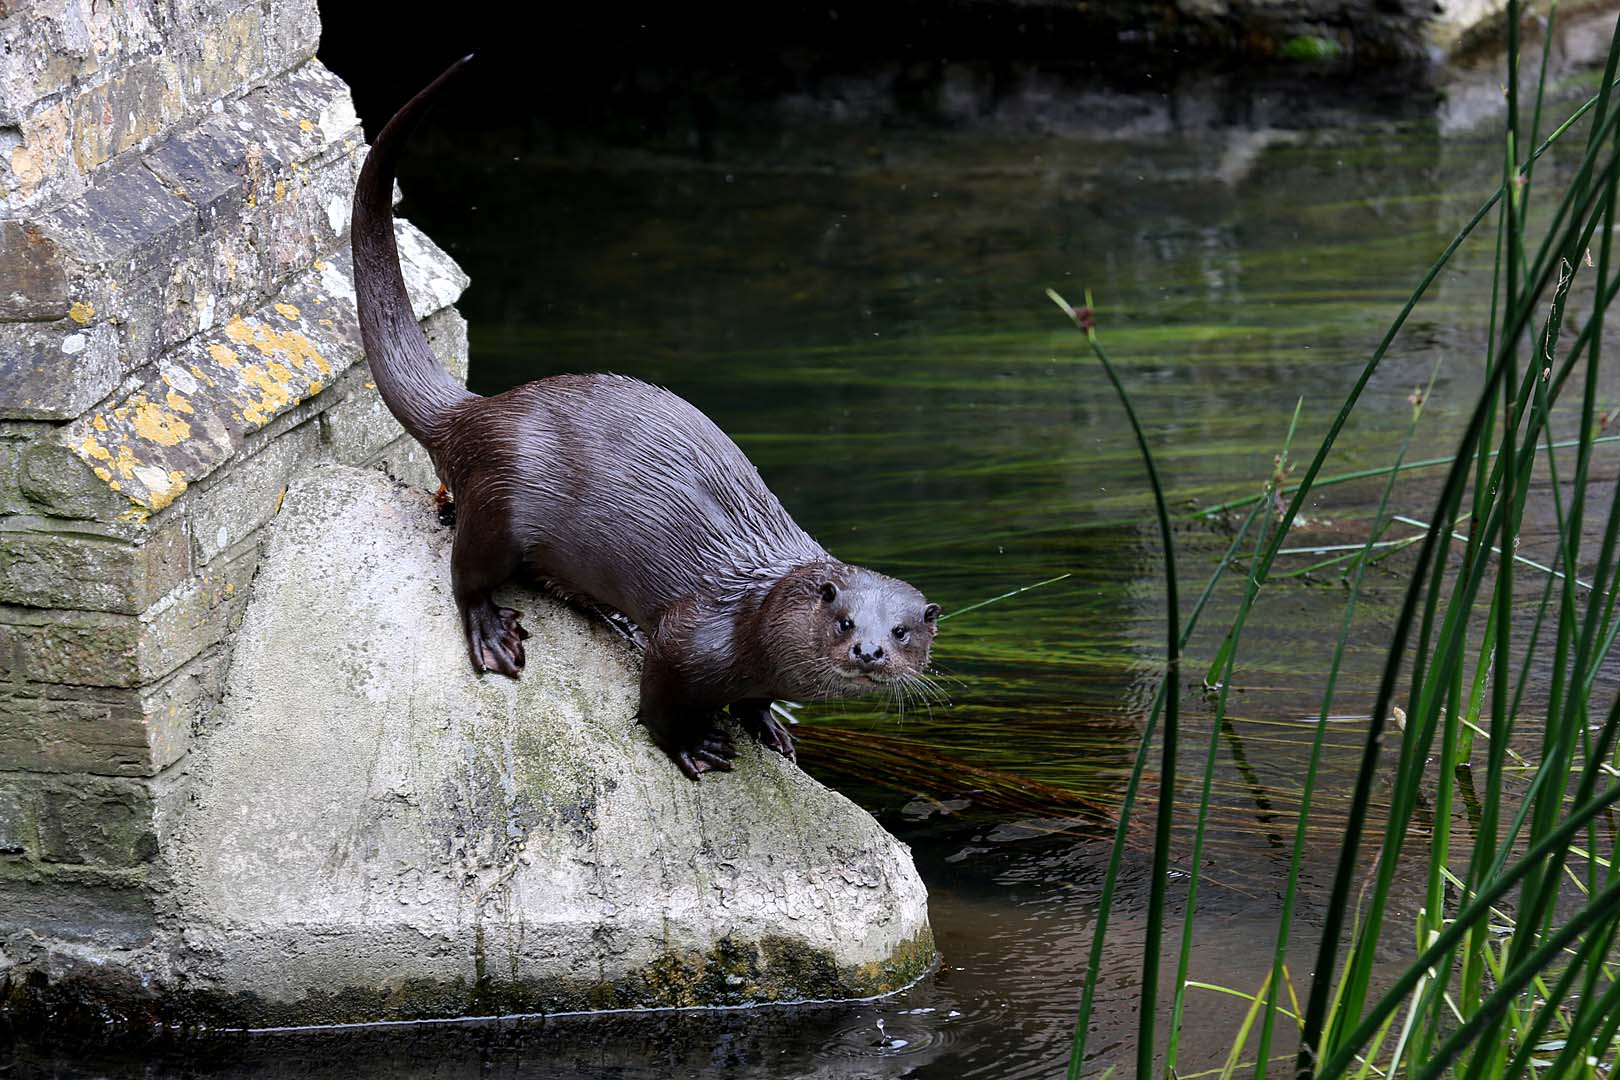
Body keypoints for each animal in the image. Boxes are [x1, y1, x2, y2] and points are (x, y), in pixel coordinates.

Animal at [350, 56, 940, 780]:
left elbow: (757, 701)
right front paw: (695, 743)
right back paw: (493, 633)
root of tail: (476, 412)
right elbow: (658, 700)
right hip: (502, 498)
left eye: (902, 631)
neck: (755, 617)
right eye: (846, 622)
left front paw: (770, 724)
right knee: (466, 572)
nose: (870, 652)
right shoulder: (694, 641)